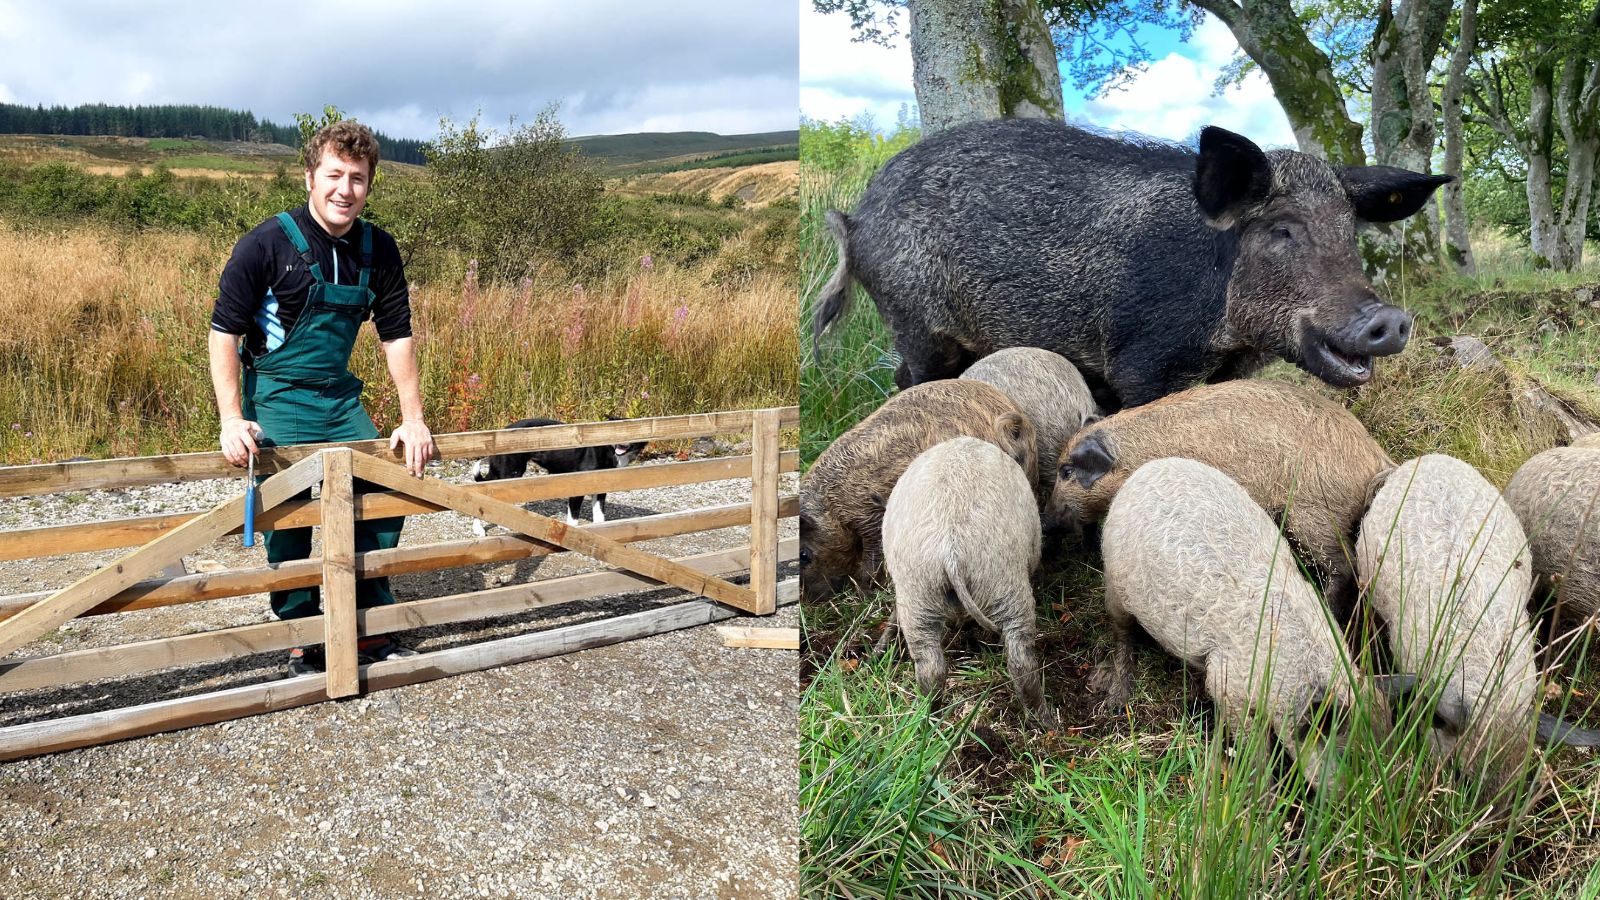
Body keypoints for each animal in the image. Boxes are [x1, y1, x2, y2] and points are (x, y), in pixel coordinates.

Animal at [812, 119, 1452, 409]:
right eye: (1282, 230)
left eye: (1349, 229)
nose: (1391, 317)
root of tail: (855, 216)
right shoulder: (1142, 361)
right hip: (914, 320)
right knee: (912, 379)